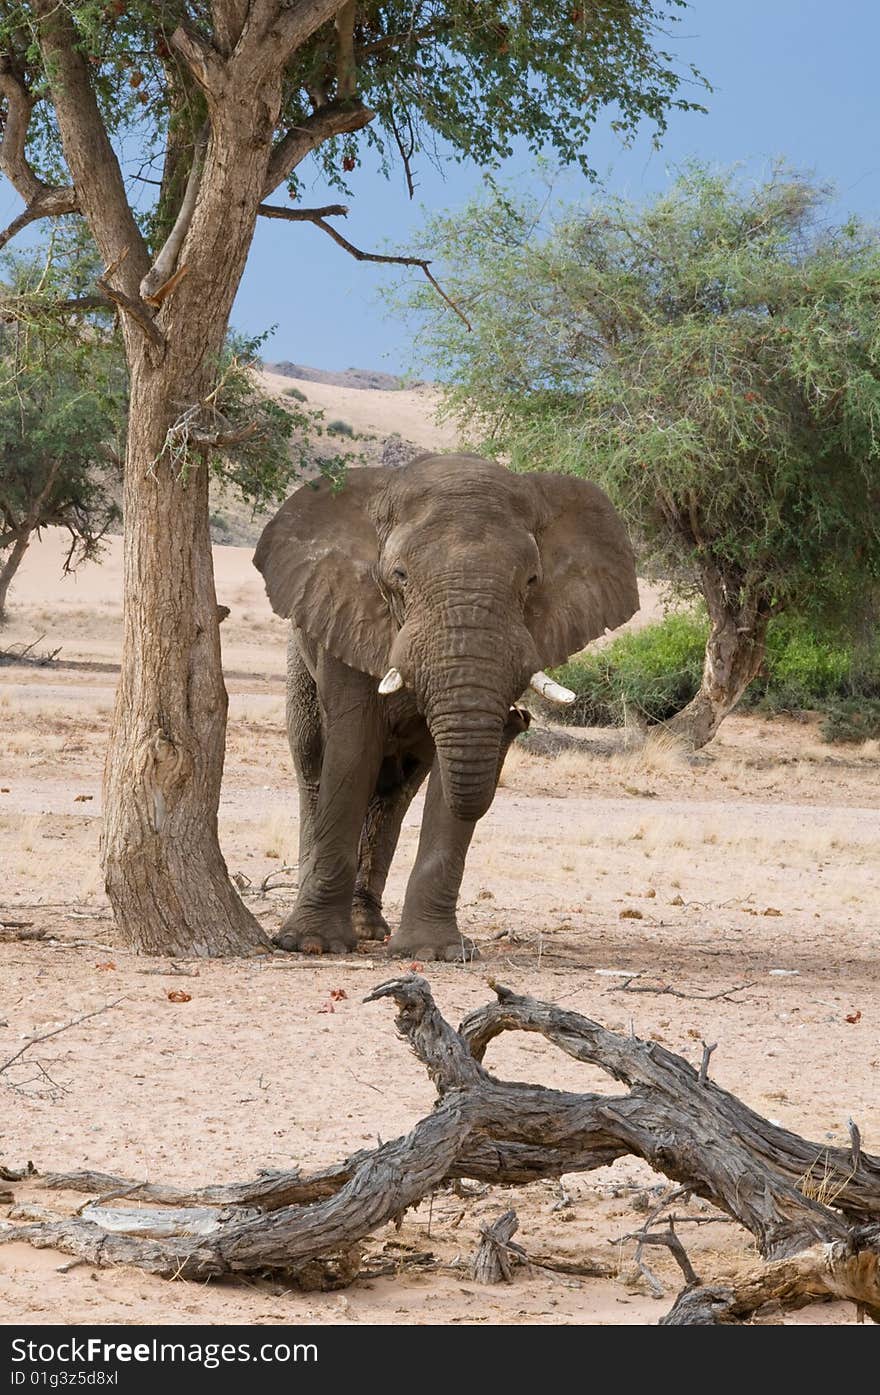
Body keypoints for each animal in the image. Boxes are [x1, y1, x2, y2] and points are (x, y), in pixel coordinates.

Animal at [255, 457, 641, 959]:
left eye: (532, 581)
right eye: (399, 576)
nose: (518, 718)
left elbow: (444, 776)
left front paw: (433, 954)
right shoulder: (346, 616)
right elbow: (353, 751)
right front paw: (311, 945)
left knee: (396, 791)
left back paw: (368, 929)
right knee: (314, 766)